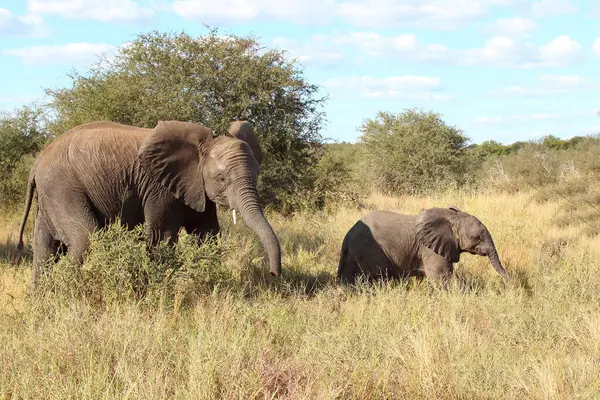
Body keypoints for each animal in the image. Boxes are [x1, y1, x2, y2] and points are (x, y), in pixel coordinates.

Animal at [14, 118, 282, 288]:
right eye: (222, 178)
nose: (273, 274)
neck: (200, 148)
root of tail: (37, 161)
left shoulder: (194, 186)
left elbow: (207, 235)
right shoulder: (159, 186)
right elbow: (162, 237)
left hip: (51, 194)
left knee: (45, 247)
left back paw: (42, 301)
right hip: (62, 186)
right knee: (83, 239)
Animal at [336, 208, 508, 286]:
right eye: (476, 237)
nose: (510, 281)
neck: (451, 216)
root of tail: (348, 235)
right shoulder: (430, 250)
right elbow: (442, 278)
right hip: (369, 251)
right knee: (380, 277)